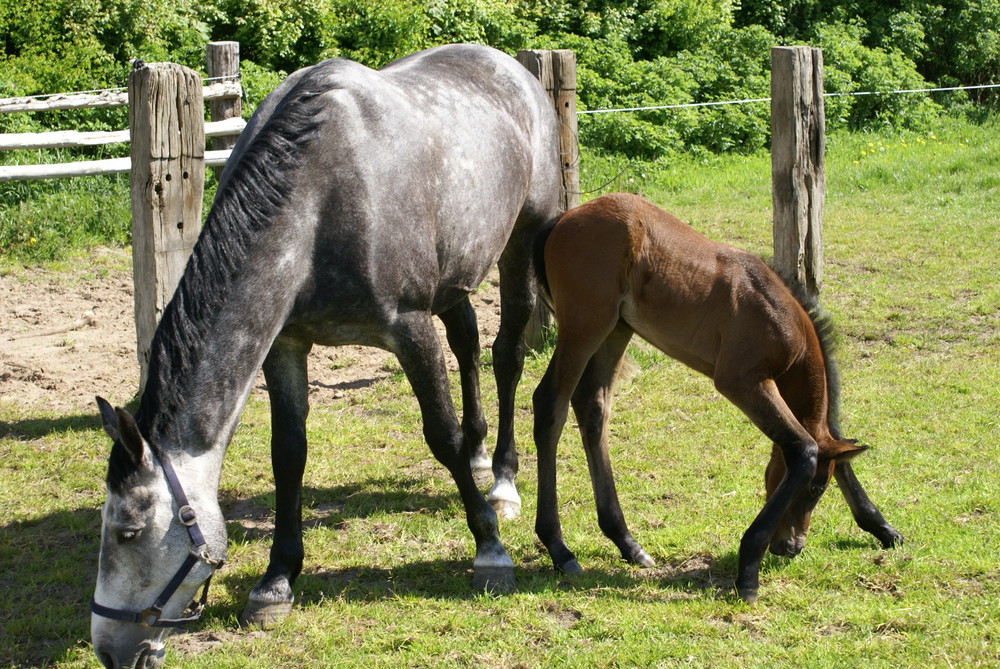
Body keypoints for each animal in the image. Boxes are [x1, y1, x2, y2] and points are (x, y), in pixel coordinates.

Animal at [92, 44, 564, 664]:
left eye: (128, 532)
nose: (109, 650)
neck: (319, 204)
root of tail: (511, 68)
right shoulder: (286, 344)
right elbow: (288, 453)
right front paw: (275, 581)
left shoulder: (409, 329)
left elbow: (441, 436)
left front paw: (488, 547)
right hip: (456, 274)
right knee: (466, 343)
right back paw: (482, 453)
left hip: (522, 242)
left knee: (506, 356)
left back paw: (503, 481)